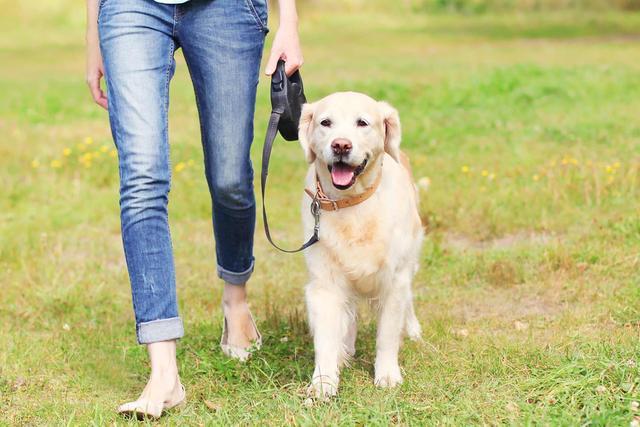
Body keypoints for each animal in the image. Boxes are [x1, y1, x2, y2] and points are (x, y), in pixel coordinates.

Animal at [300, 90, 424, 398]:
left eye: (362, 123)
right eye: (326, 122)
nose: (341, 145)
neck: (353, 204)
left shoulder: (395, 280)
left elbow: (387, 335)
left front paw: (387, 374)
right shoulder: (324, 283)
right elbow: (325, 338)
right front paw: (323, 381)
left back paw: (412, 329)